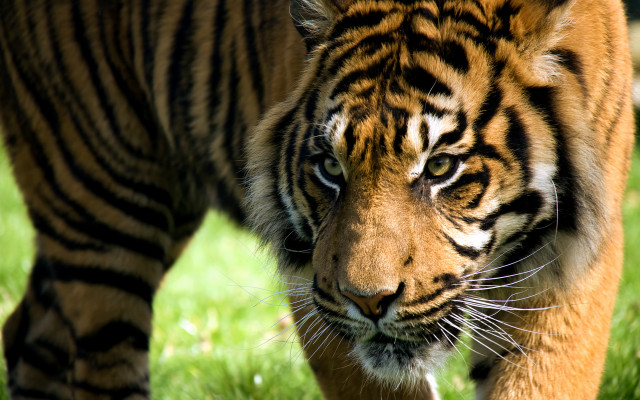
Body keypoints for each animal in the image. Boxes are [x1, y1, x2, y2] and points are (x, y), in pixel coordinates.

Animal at [0, 0, 634, 398]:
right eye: (331, 167)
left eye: (441, 166)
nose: (368, 302)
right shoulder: (314, 284)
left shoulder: (571, 263)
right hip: (102, 200)